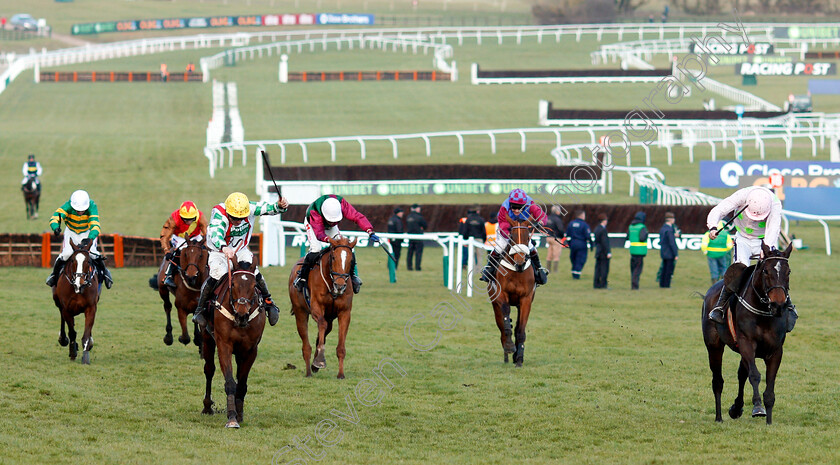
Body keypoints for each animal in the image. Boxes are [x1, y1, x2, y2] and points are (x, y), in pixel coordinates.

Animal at [199, 260, 264, 428]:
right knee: (209, 370)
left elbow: (241, 383)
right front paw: (232, 417)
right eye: (233, 284)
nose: (242, 315)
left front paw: (239, 414)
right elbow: (230, 382)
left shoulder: (251, 350)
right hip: (207, 339)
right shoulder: (224, 345)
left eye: (254, 284)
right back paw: (207, 406)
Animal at [288, 236, 358, 376]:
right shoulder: (316, 308)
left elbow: (340, 347)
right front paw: (320, 360)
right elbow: (321, 324)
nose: (340, 286)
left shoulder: (344, 313)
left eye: (351, 259)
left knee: (324, 332)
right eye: (333, 257)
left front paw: (341, 374)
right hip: (300, 313)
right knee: (306, 345)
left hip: (330, 317)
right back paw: (309, 371)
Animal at [488, 217, 536, 366]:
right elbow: (506, 317)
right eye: (512, 237)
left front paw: (519, 358)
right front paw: (509, 346)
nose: (520, 262)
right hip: (494, 304)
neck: (517, 271)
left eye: (527, 237)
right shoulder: (501, 294)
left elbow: (520, 329)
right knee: (502, 328)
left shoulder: (526, 299)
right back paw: (506, 352)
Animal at [704, 243, 796, 424]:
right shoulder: (746, 343)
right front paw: (758, 407)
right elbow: (754, 375)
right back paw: (719, 417)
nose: (778, 305)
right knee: (718, 381)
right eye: (766, 271)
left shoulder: (776, 351)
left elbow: (769, 384)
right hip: (714, 346)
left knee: (741, 374)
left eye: (788, 272)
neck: (763, 313)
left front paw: (769, 421)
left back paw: (736, 408)